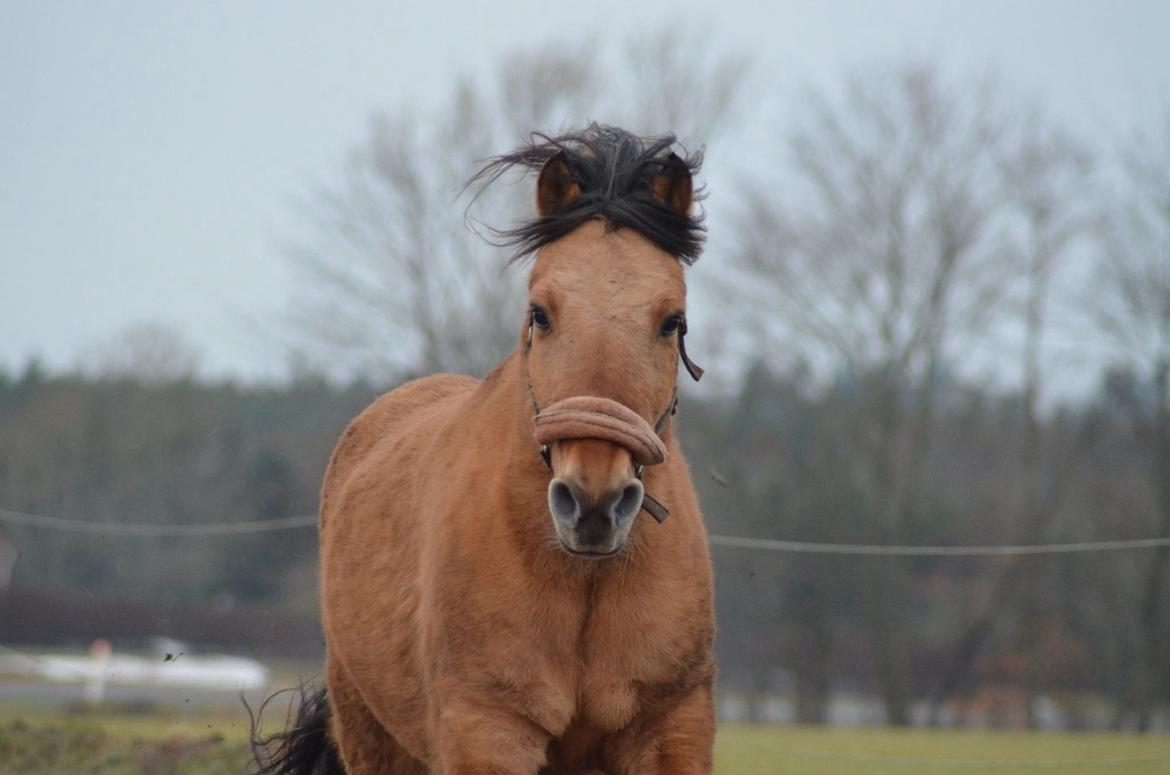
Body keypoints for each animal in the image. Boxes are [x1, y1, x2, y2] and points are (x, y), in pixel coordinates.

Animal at [256, 125, 711, 775]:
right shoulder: (487, 728)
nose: (593, 502)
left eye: (672, 321)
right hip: (371, 733)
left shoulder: (671, 729)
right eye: (540, 313)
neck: (580, 578)